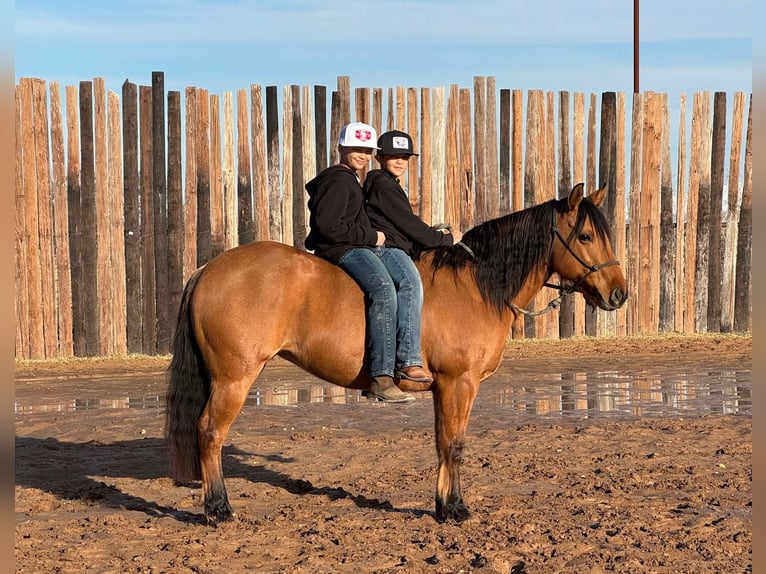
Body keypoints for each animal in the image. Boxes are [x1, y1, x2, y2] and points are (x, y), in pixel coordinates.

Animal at [165, 182, 628, 523]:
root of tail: (209, 268)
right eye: (585, 235)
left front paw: (443, 505)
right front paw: (456, 510)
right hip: (234, 379)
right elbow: (455, 444)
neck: (476, 284)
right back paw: (219, 508)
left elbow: (442, 443)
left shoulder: (445, 388)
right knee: (209, 432)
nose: (618, 294)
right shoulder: (460, 384)